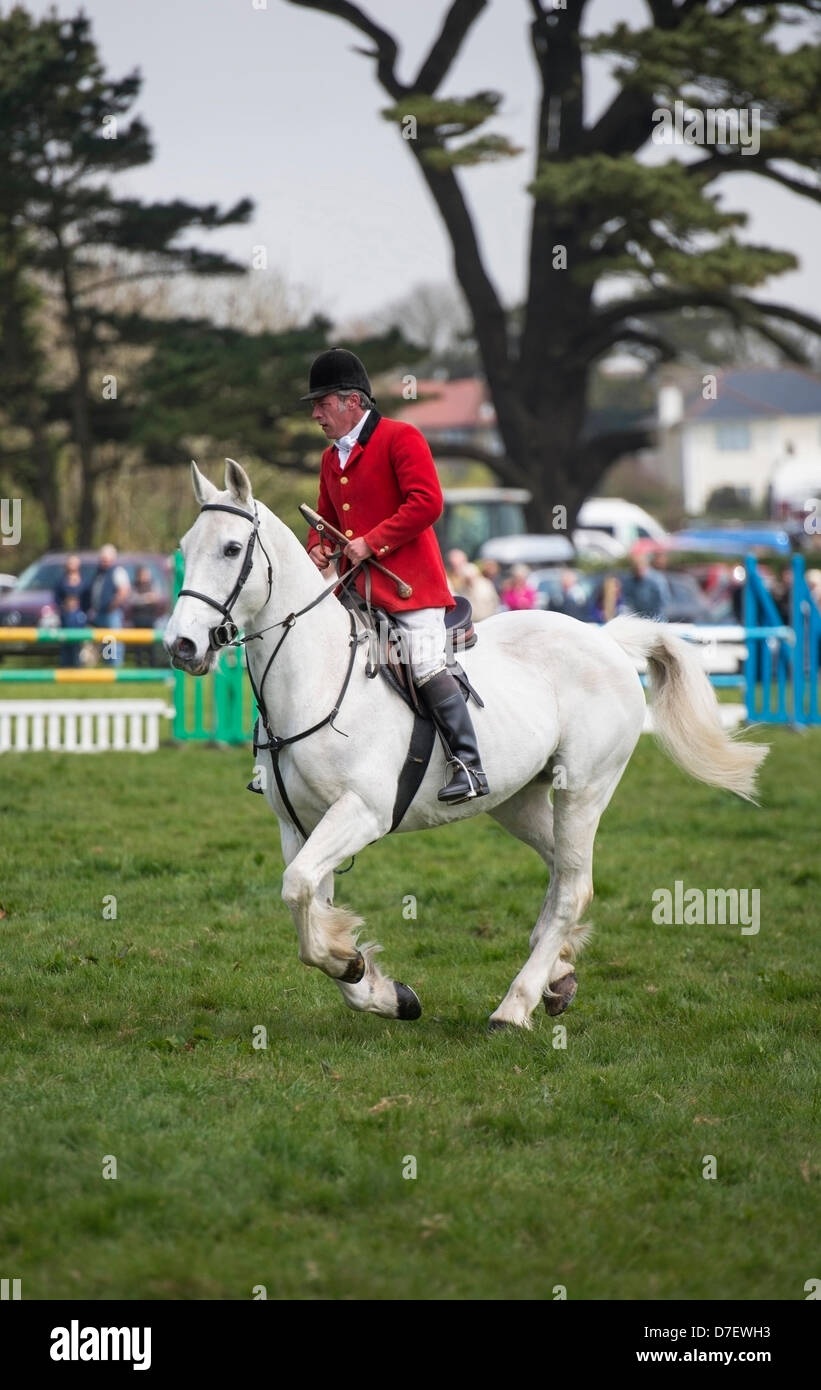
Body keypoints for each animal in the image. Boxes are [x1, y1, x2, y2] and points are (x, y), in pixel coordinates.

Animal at [164, 459, 768, 1031]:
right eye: (184, 549)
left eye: (232, 548)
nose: (181, 645)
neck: (317, 676)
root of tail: (605, 639)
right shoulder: (299, 828)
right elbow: (306, 904)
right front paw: (380, 990)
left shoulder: (362, 813)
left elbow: (298, 895)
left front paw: (355, 967)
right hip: (517, 800)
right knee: (562, 872)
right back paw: (557, 974)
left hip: (584, 788)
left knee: (574, 887)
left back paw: (515, 1006)